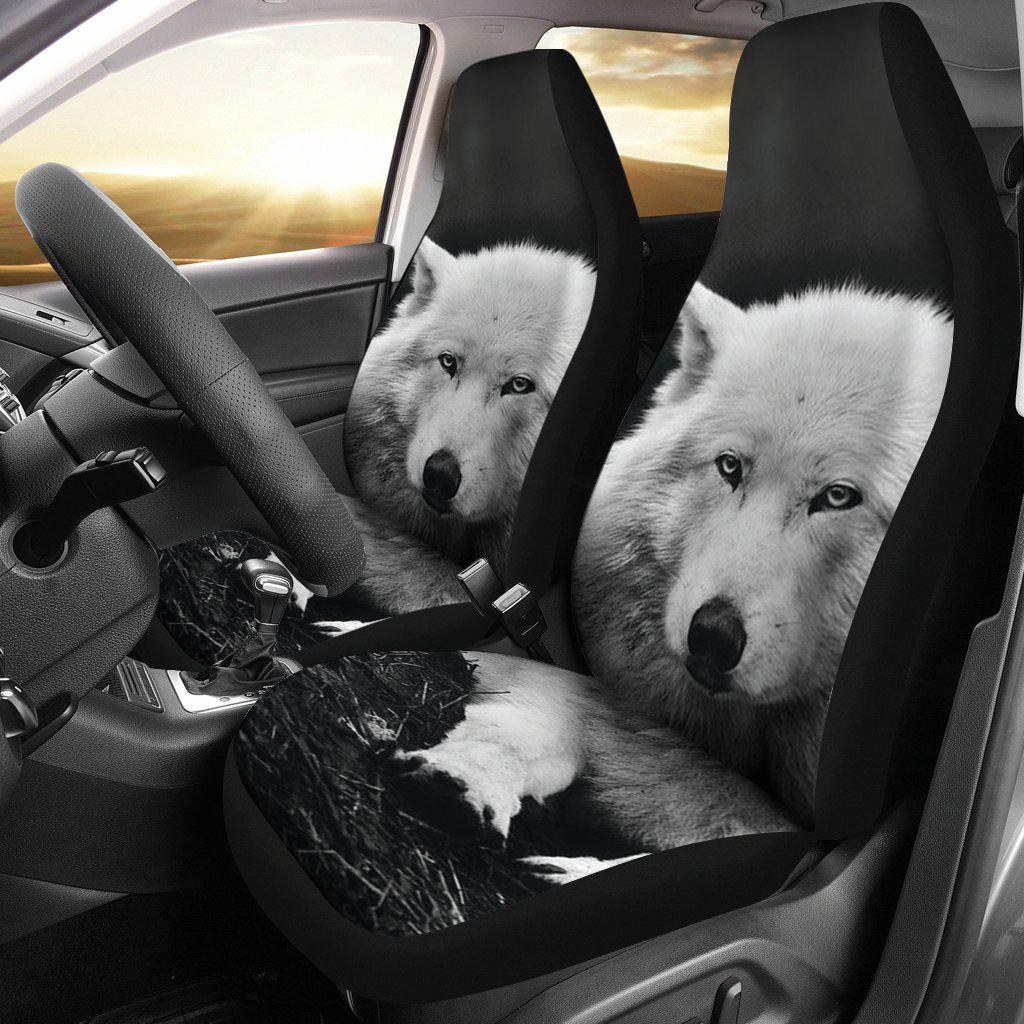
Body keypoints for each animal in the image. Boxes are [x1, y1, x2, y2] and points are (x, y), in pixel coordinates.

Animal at [392, 281, 953, 881]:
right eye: (729, 467)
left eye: (839, 496)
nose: (711, 637)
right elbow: (519, 730)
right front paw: (460, 781)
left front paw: (573, 867)